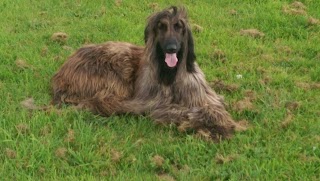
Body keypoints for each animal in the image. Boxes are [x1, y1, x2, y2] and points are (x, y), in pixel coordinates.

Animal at [52, 6, 240, 140]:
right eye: (161, 27)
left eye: (178, 27)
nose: (171, 48)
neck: (170, 75)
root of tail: (61, 74)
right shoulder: (153, 102)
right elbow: (177, 110)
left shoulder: (202, 95)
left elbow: (214, 106)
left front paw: (220, 122)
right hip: (117, 68)